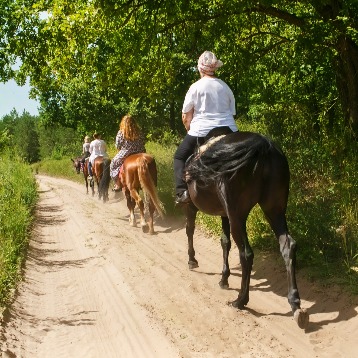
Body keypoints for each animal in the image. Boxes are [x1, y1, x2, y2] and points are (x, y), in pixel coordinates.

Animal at [183, 130, 310, 328]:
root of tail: (264, 146)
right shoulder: (224, 213)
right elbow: (224, 242)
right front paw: (224, 278)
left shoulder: (192, 206)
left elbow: (190, 230)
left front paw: (192, 260)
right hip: (274, 210)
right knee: (287, 246)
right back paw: (295, 305)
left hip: (238, 216)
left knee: (246, 254)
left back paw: (240, 300)